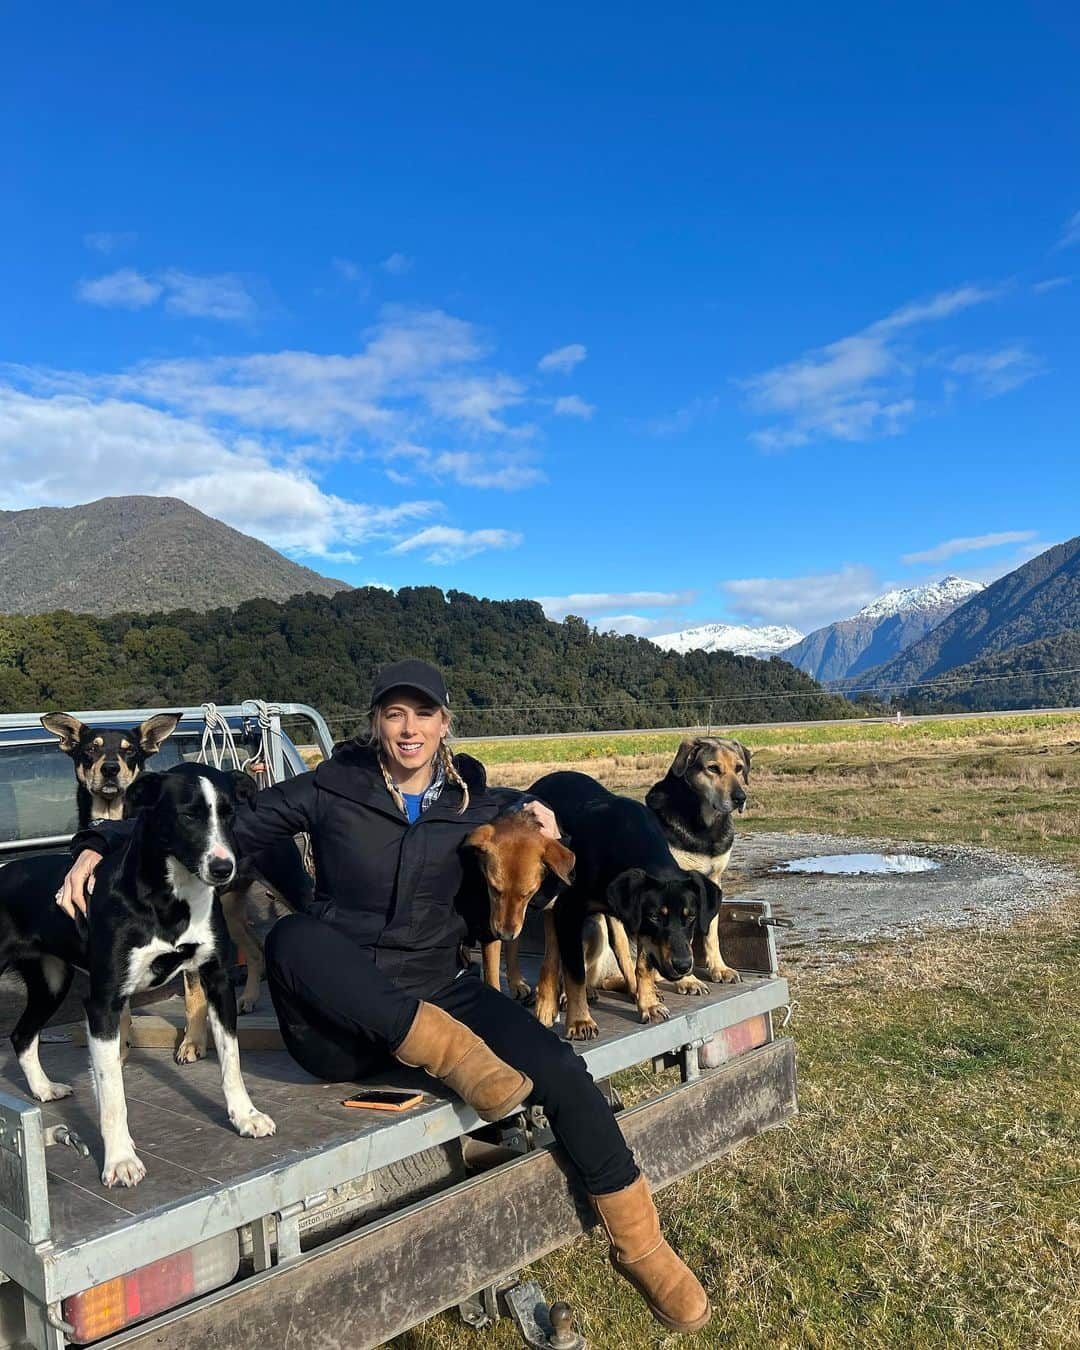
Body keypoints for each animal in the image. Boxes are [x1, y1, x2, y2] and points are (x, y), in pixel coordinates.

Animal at [461, 804, 572, 1009]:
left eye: (528, 893)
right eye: (494, 888)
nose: (503, 934)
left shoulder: (551, 909)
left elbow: (553, 957)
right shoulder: (492, 925)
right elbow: (493, 973)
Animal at [526, 772, 723, 1042]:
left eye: (691, 916)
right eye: (654, 917)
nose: (683, 965)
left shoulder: (636, 920)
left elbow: (643, 964)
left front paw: (648, 1004)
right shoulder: (568, 911)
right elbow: (574, 972)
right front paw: (579, 1021)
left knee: (619, 946)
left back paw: (632, 990)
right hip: (553, 899)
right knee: (553, 953)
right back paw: (550, 1003)